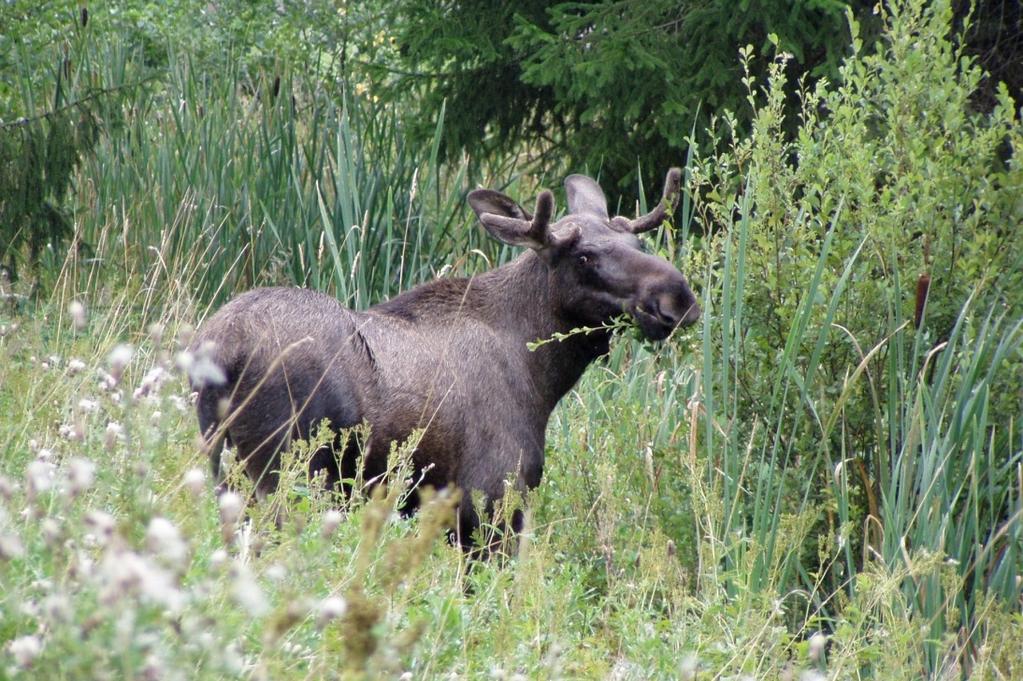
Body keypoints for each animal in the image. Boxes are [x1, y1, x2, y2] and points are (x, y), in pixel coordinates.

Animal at [188, 169, 699, 548]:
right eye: (586, 257)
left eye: (638, 245)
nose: (678, 299)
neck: (542, 375)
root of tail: (222, 351)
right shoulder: (492, 499)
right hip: (286, 475)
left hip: (228, 472)